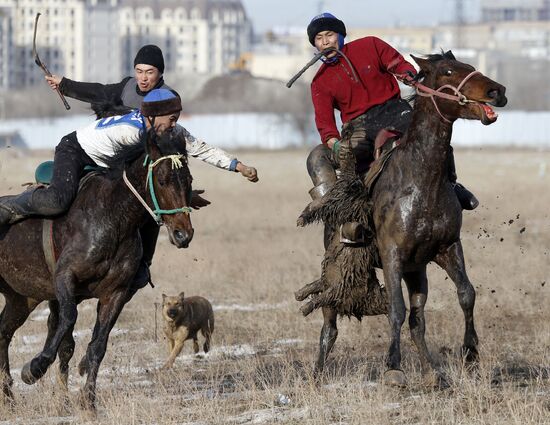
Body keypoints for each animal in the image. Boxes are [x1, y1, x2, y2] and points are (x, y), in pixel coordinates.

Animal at [0, 127, 195, 406]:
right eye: (163, 179)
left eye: (188, 180)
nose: (183, 234)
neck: (112, 219)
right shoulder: (64, 278)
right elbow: (68, 319)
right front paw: (34, 367)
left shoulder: (116, 292)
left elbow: (98, 344)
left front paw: (88, 399)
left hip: (22, 298)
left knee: (3, 332)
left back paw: (7, 395)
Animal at [300, 51, 512, 386]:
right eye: (448, 71)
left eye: (468, 65)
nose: (497, 91)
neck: (421, 181)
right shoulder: (392, 256)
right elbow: (395, 309)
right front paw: (393, 366)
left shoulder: (448, 248)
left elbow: (466, 294)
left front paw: (470, 353)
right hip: (339, 265)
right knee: (330, 321)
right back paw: (318, 373)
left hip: (417, 270)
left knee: (417, 321)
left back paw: (433, 370)